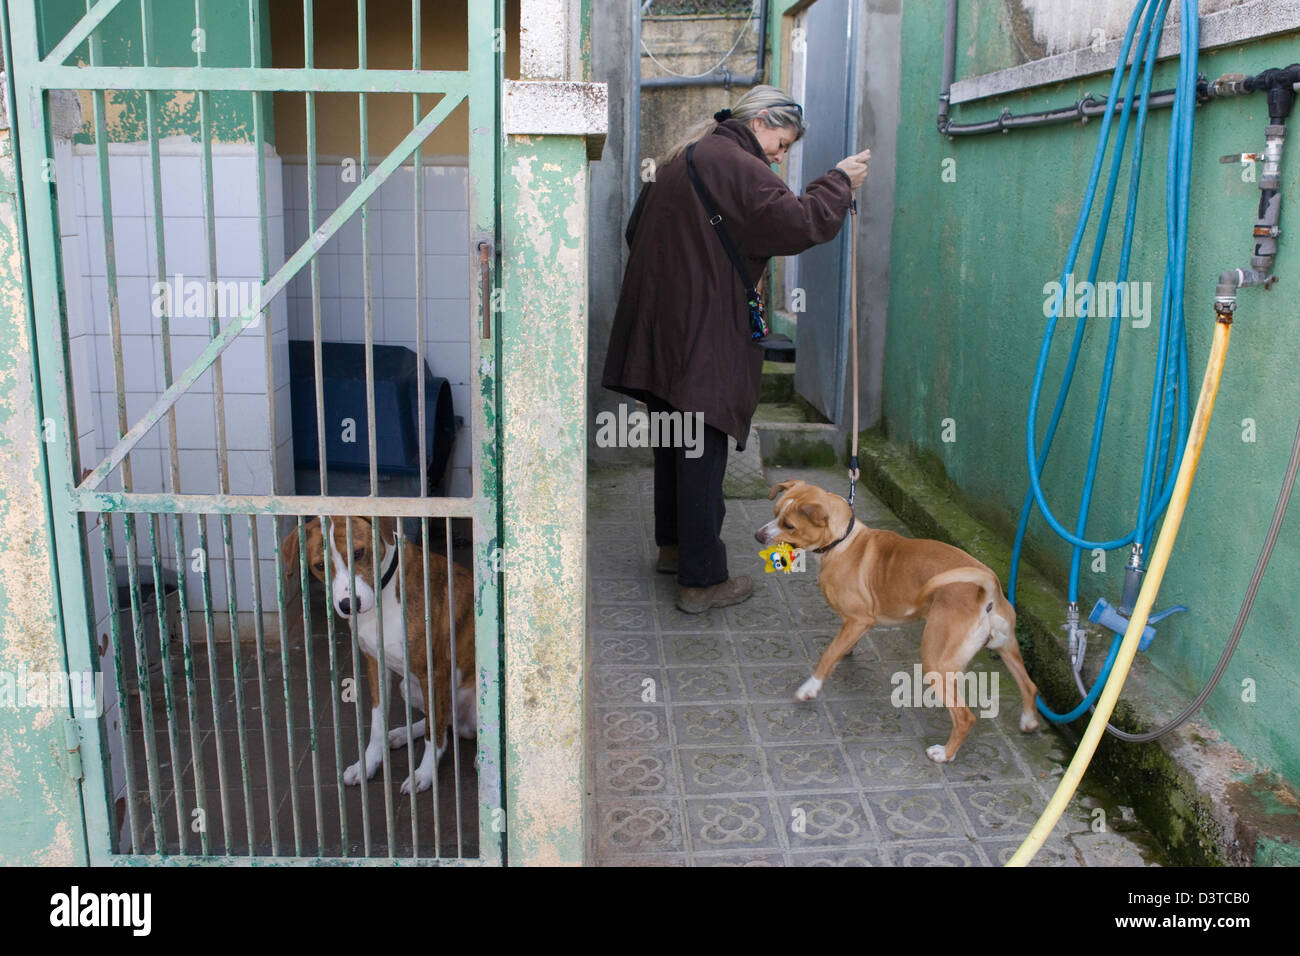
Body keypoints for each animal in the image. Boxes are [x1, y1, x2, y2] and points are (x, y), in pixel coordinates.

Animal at [279, 520, 478, 796]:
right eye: (320, 566)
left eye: (358, 553)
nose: (348, 604)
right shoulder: (375, 664)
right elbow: (377, 724)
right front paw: (367, 764)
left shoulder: (435, 671)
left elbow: (434, 737)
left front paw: (423, 774)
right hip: (409, 687)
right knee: (443, 723)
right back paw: (401, 734)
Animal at [754, 478, 1034, 764]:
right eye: (775, 512)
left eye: (789, 525)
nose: (758, 536)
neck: (843, 541)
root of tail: (987, 590)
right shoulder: (855, 623)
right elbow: (843, 644)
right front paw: (847, 650)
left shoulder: (859, 619)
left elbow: (829, 654)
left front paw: (811, 687)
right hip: (1007, 647)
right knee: (1029, 686)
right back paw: (1028, 721)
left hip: (936, 663)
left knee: (965, 717)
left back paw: (945, 753)